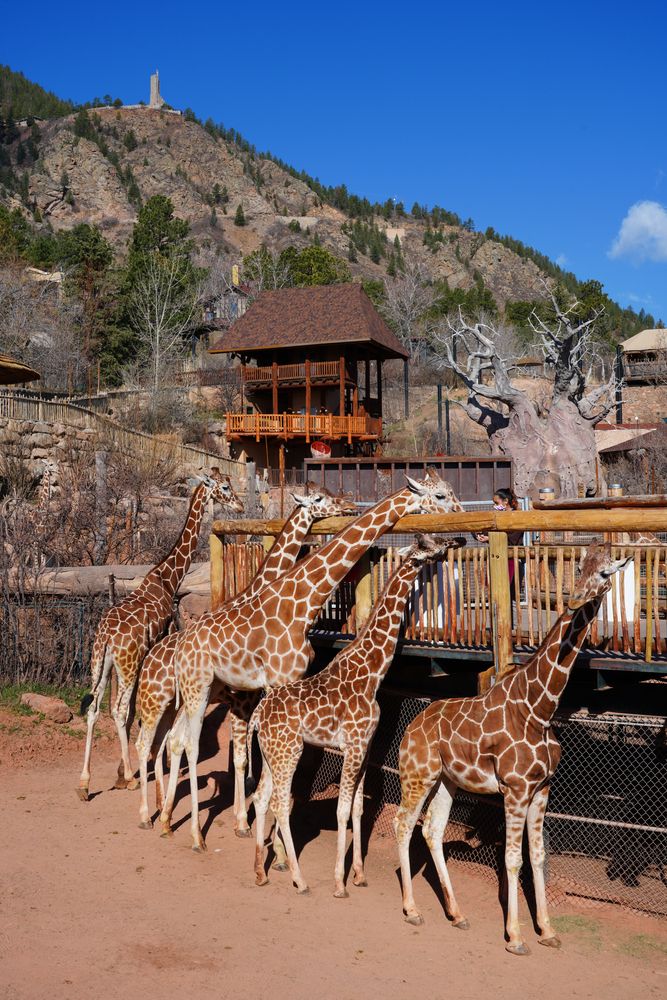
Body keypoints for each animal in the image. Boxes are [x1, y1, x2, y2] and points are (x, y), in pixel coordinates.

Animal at [76, 472, 244, 802]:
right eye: (225, 487)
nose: (240, 506)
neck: (167, 577)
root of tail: (107, 637)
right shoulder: (163, 638)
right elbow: (138, 711)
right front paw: (145, 766)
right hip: (127, 664)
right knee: (117, 710)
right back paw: (130, 777)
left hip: (99, 663)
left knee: (94, 708)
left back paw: (85, 784)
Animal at [134, 487, 358, 832]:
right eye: (321, 498)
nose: (349, 504)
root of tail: (150, 659)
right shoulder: (241, 700)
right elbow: (242, 759)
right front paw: (245, 820)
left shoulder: (246, 700)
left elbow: (242, 759)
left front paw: (245, 814)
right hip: (157, 698)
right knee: (148, 742)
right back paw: (148, 814)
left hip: (174, 704)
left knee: (164, 743)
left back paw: (164, 812)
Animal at [165, 473, 465, 852]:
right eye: (440, 495)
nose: (458, 522)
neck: (301, 604)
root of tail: (181, 642)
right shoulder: (276, 681)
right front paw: (275, 848)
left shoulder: (283, 684)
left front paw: (258, 834)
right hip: (199, 685)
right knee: (188, 743)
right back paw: (194, 834)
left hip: (205, 690)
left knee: (175, 738)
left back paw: (164, 819)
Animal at [251, 533, 466, 897]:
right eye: (427, 543)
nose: (458, 539)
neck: (372, 673)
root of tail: (257, 715)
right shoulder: (351, 745)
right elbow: (340, 810)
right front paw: (339, 882)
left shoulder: (365, 747)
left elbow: (358, 808)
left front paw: (359, 874)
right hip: (289, 750)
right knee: (280, 803)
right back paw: (299, 879)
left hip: (271, 753)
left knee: (262, 797)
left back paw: (261, 872)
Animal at [393, 541, 631, 955]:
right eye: (580, 567)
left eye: (605, 572)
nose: (574, 599)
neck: (539, 708)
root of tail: (412, 726)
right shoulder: (515, 789)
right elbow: (512, 859)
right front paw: (516, 937)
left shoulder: (542, 789)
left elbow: (537, 857)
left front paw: (547, 931)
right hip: (417, 775)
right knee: (403, 823)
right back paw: (411, 910)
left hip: (445, 781)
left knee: (433, 831)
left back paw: (456, 914)